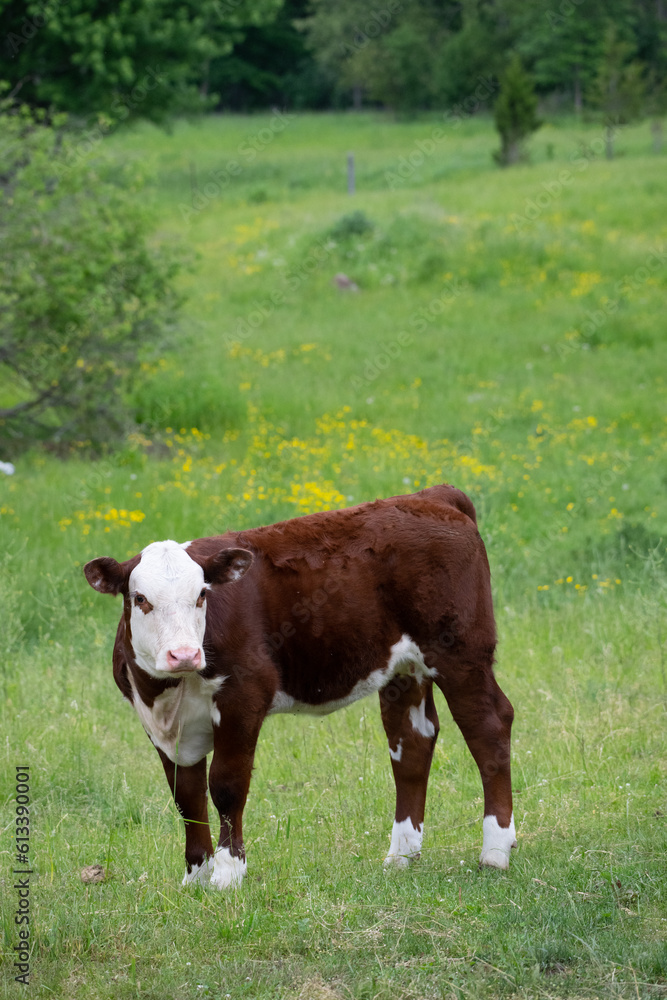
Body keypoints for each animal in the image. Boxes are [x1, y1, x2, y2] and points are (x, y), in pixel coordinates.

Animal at [84, 484, 516, 889]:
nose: (184, 654)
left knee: (489, 726)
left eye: (202, 595)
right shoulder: (158, 723)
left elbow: (225, 785)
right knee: (411, 742)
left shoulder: (244, 696)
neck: (169, 696)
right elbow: (186, 797)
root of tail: (432, 496)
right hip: (404, 668)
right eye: (140, 598)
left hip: (460, 651)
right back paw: (401, 856)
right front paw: (195, 876)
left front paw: (228, 874)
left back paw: (495, 851)